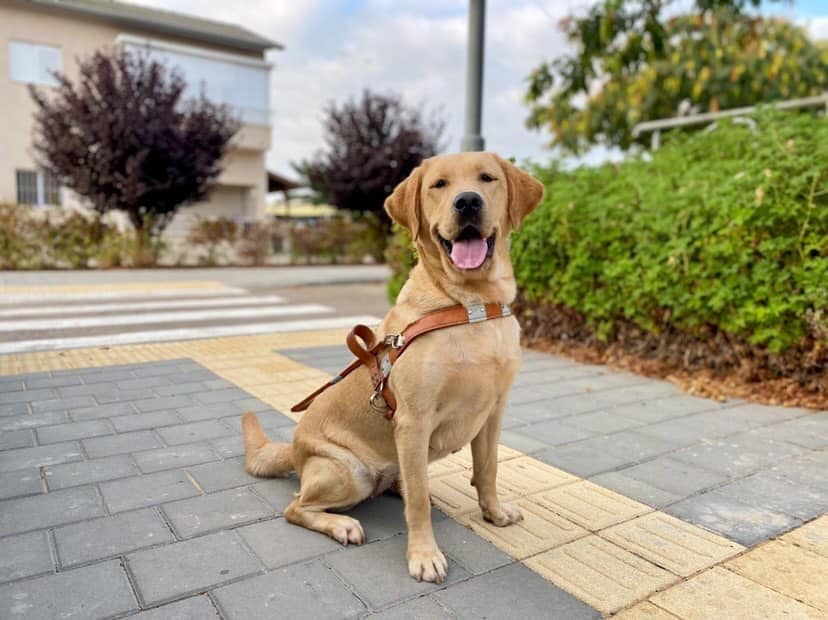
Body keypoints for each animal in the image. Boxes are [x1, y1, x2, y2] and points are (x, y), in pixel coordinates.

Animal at [239, 150, 544, 580]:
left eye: (487, 178)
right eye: (439, 184)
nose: (468, 202)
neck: (472, 307)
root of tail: (295, 451)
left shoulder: (493, 413)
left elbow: (488, 470)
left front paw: (494, 513)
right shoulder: (414, 421)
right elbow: (415, 504)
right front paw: (423, 555)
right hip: (349, 472)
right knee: (296, 506)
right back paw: (342, 524)